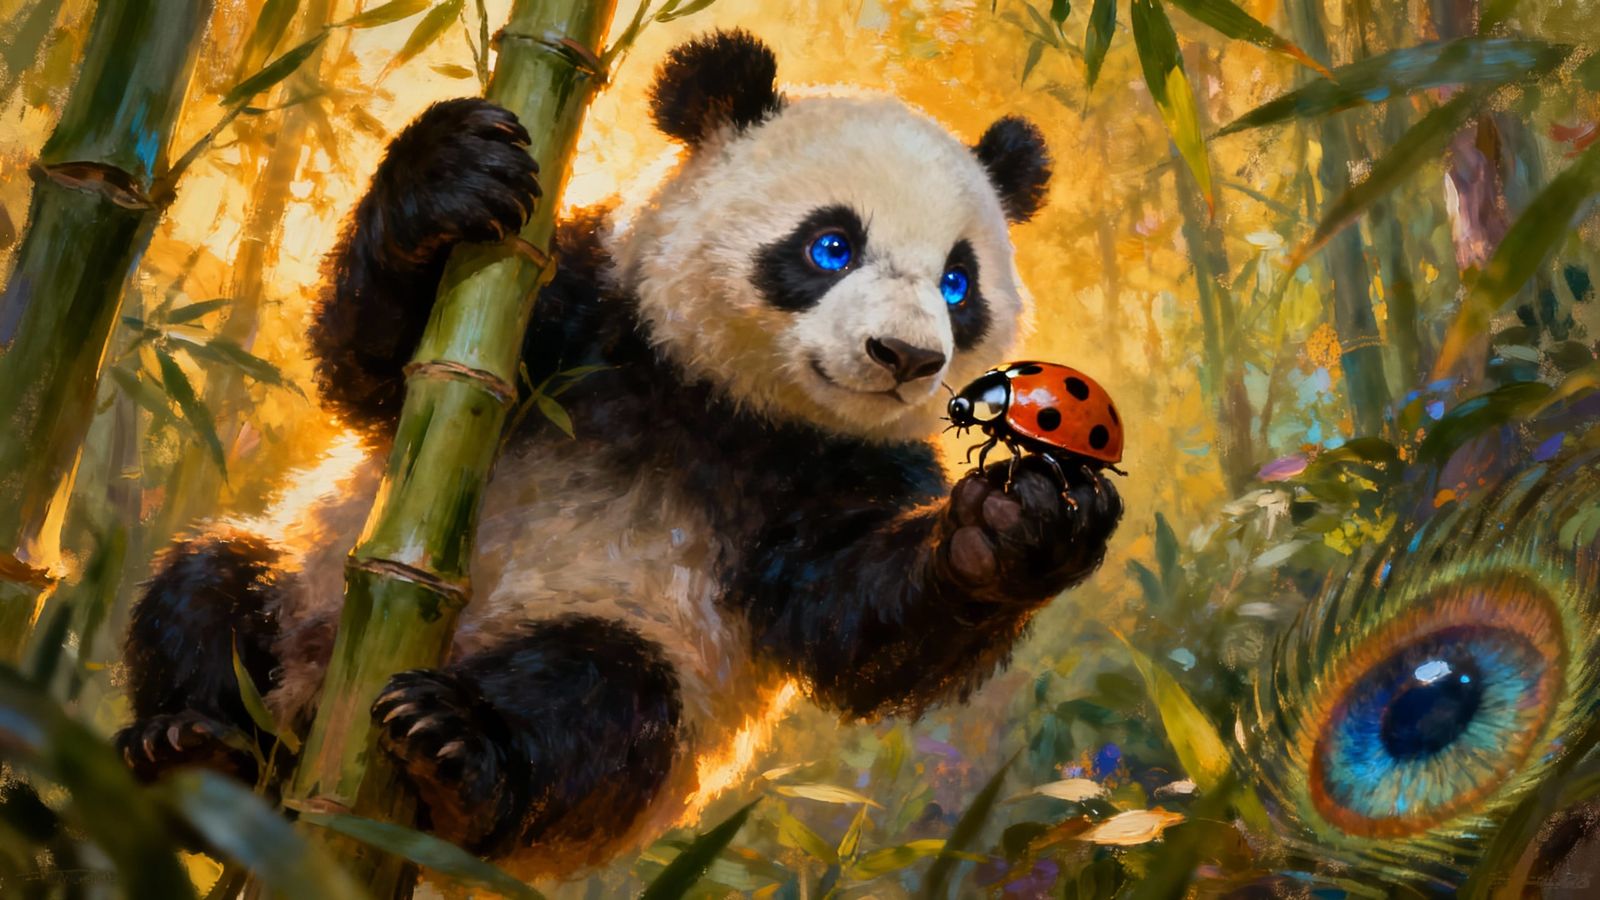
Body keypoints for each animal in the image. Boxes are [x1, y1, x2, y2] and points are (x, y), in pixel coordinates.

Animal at [117, 30, 1122, 877]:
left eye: (958, 282)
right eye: (831, 245)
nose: (906, 358)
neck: (716, 401)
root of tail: (312, 762)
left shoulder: (837, 464)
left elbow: (849, 615)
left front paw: (1019, 526)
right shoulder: (579, 313)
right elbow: (387, 374)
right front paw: (451, 170)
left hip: (616, 754)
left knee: (602, 700)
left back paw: (453, 750)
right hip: (307, 590)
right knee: (212, 582)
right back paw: (189, 745)